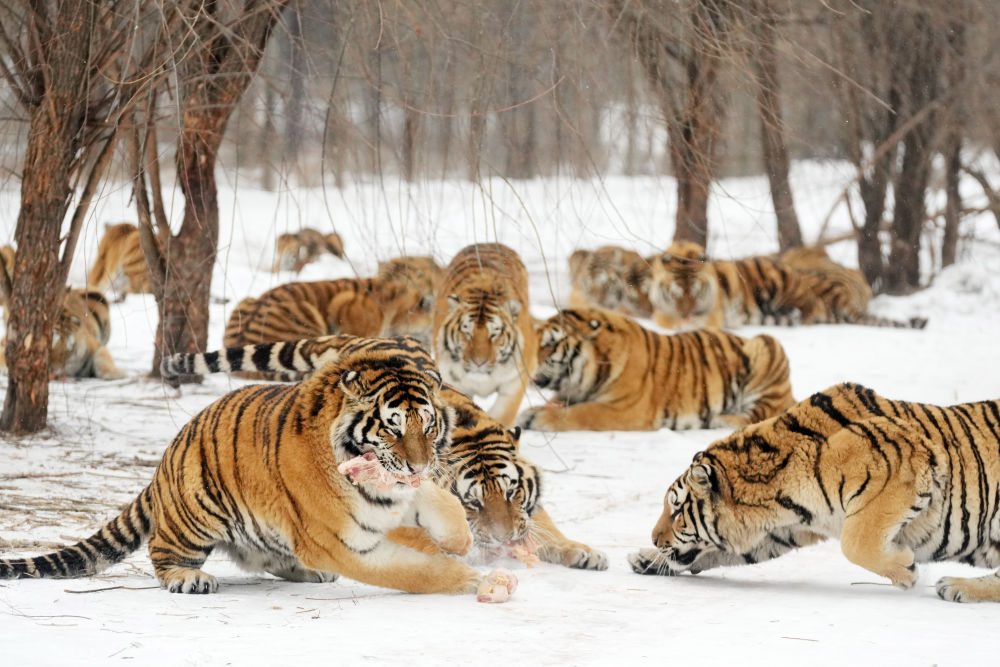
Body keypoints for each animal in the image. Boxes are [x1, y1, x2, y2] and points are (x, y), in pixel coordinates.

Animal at [0, 336, 498, 596]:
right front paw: (469, 577)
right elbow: (413, 571)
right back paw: (189, 579)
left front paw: (461, 541)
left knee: (266, 557)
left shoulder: (400, 493)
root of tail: (166, 457)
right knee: (161, 551)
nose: (417, 464)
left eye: (427, 425)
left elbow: (445, 508)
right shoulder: (340, 543)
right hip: (196, 515)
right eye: (392, 427)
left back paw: (305, 571)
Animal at [519, 307, 794, 432]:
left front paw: (537, 418)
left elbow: (582, 413)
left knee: (761, 413)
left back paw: (721, 420)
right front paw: (534, 411)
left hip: (766, 343)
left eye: (549, 344)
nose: (525, 363)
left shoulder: (626, 410)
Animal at [629, 382, 1000, 604]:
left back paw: (956, 587)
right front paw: (645, 559)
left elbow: (856, 543)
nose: (653, 538)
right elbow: (717, 553)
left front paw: (906, 569)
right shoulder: (781, 532)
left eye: (677, 510)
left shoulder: (907, 465)